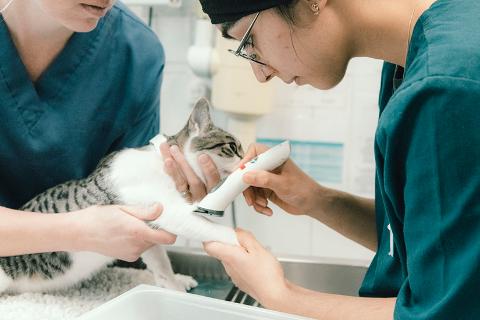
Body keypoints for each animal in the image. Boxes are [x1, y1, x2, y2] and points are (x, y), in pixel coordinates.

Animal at [0, 98, 246, 296]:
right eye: (233, 147)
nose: (247, 157)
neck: (163, 163)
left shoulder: (148, 234)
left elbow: (162, 265)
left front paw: (174, 284)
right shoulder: (167, 211)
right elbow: (212, 229)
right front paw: (242, 243)